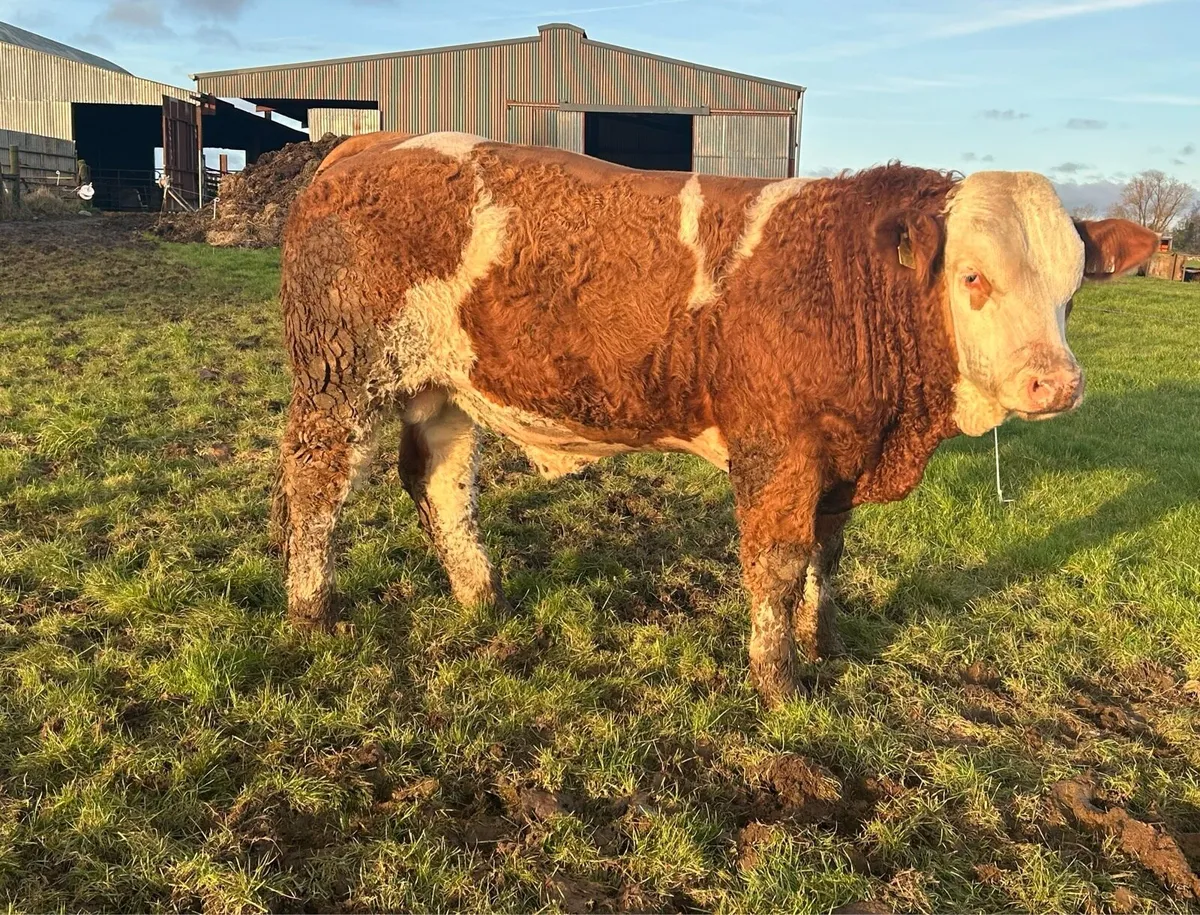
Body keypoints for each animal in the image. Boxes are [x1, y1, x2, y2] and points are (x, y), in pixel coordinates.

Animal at [272, 131, 1158, 704]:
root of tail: (372, 143)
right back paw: (313, 611)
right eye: (973, 277)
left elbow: (826, 557)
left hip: (446, 389)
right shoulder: (779, 449)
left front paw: (826, 643)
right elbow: (777, 563)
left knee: (443, 484)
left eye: (1072, 290)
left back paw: (480, 595)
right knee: (316, 486)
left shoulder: (839, 457)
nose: (1055, 383)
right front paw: (780, 682)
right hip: (340, 378)